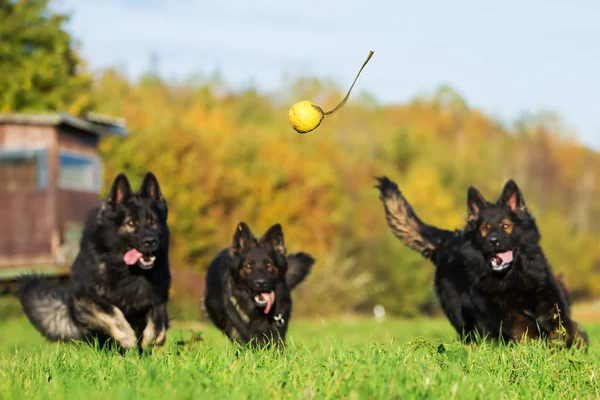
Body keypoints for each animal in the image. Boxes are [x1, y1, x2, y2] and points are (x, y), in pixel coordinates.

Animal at [19, 172, 170, 350]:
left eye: (153, 221)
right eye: (131, 223)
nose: (151, 241)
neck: (127, 270)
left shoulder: (158, 295)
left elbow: (158, 319)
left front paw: (152, 340)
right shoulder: (86, 298)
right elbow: (112, 311)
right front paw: (127, 337)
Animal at [378, 175, 588, 346]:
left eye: (506, 226)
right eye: (485, 229)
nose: (493, 241)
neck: (512, 276)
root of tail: (447, 240)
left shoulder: (549, 299)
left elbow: (565, 326)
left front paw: (572, 343)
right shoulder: (501, 311)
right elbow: (525, 326)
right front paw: (540, 342)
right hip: (462, 318)